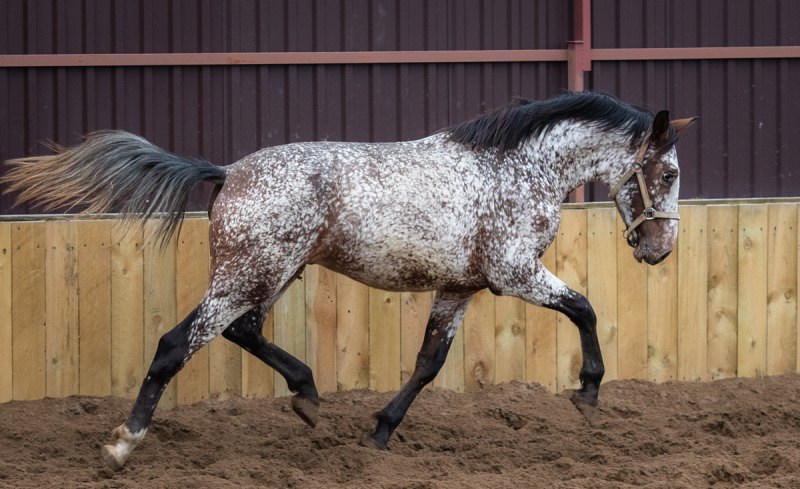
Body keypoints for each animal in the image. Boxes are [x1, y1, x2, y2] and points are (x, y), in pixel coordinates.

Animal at [3, 89, 692, 468]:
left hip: (271, 273)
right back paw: (123, 445)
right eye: (668, 174)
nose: (659, 251)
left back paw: (308, 398)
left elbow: (428, 363)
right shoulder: (514, 271)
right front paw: (588, 392)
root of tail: (227, 171)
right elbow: (585, 308)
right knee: (177, 344)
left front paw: (382, 431)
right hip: (248, 274)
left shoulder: (460, 287)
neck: (518, 167)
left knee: (243, 332)